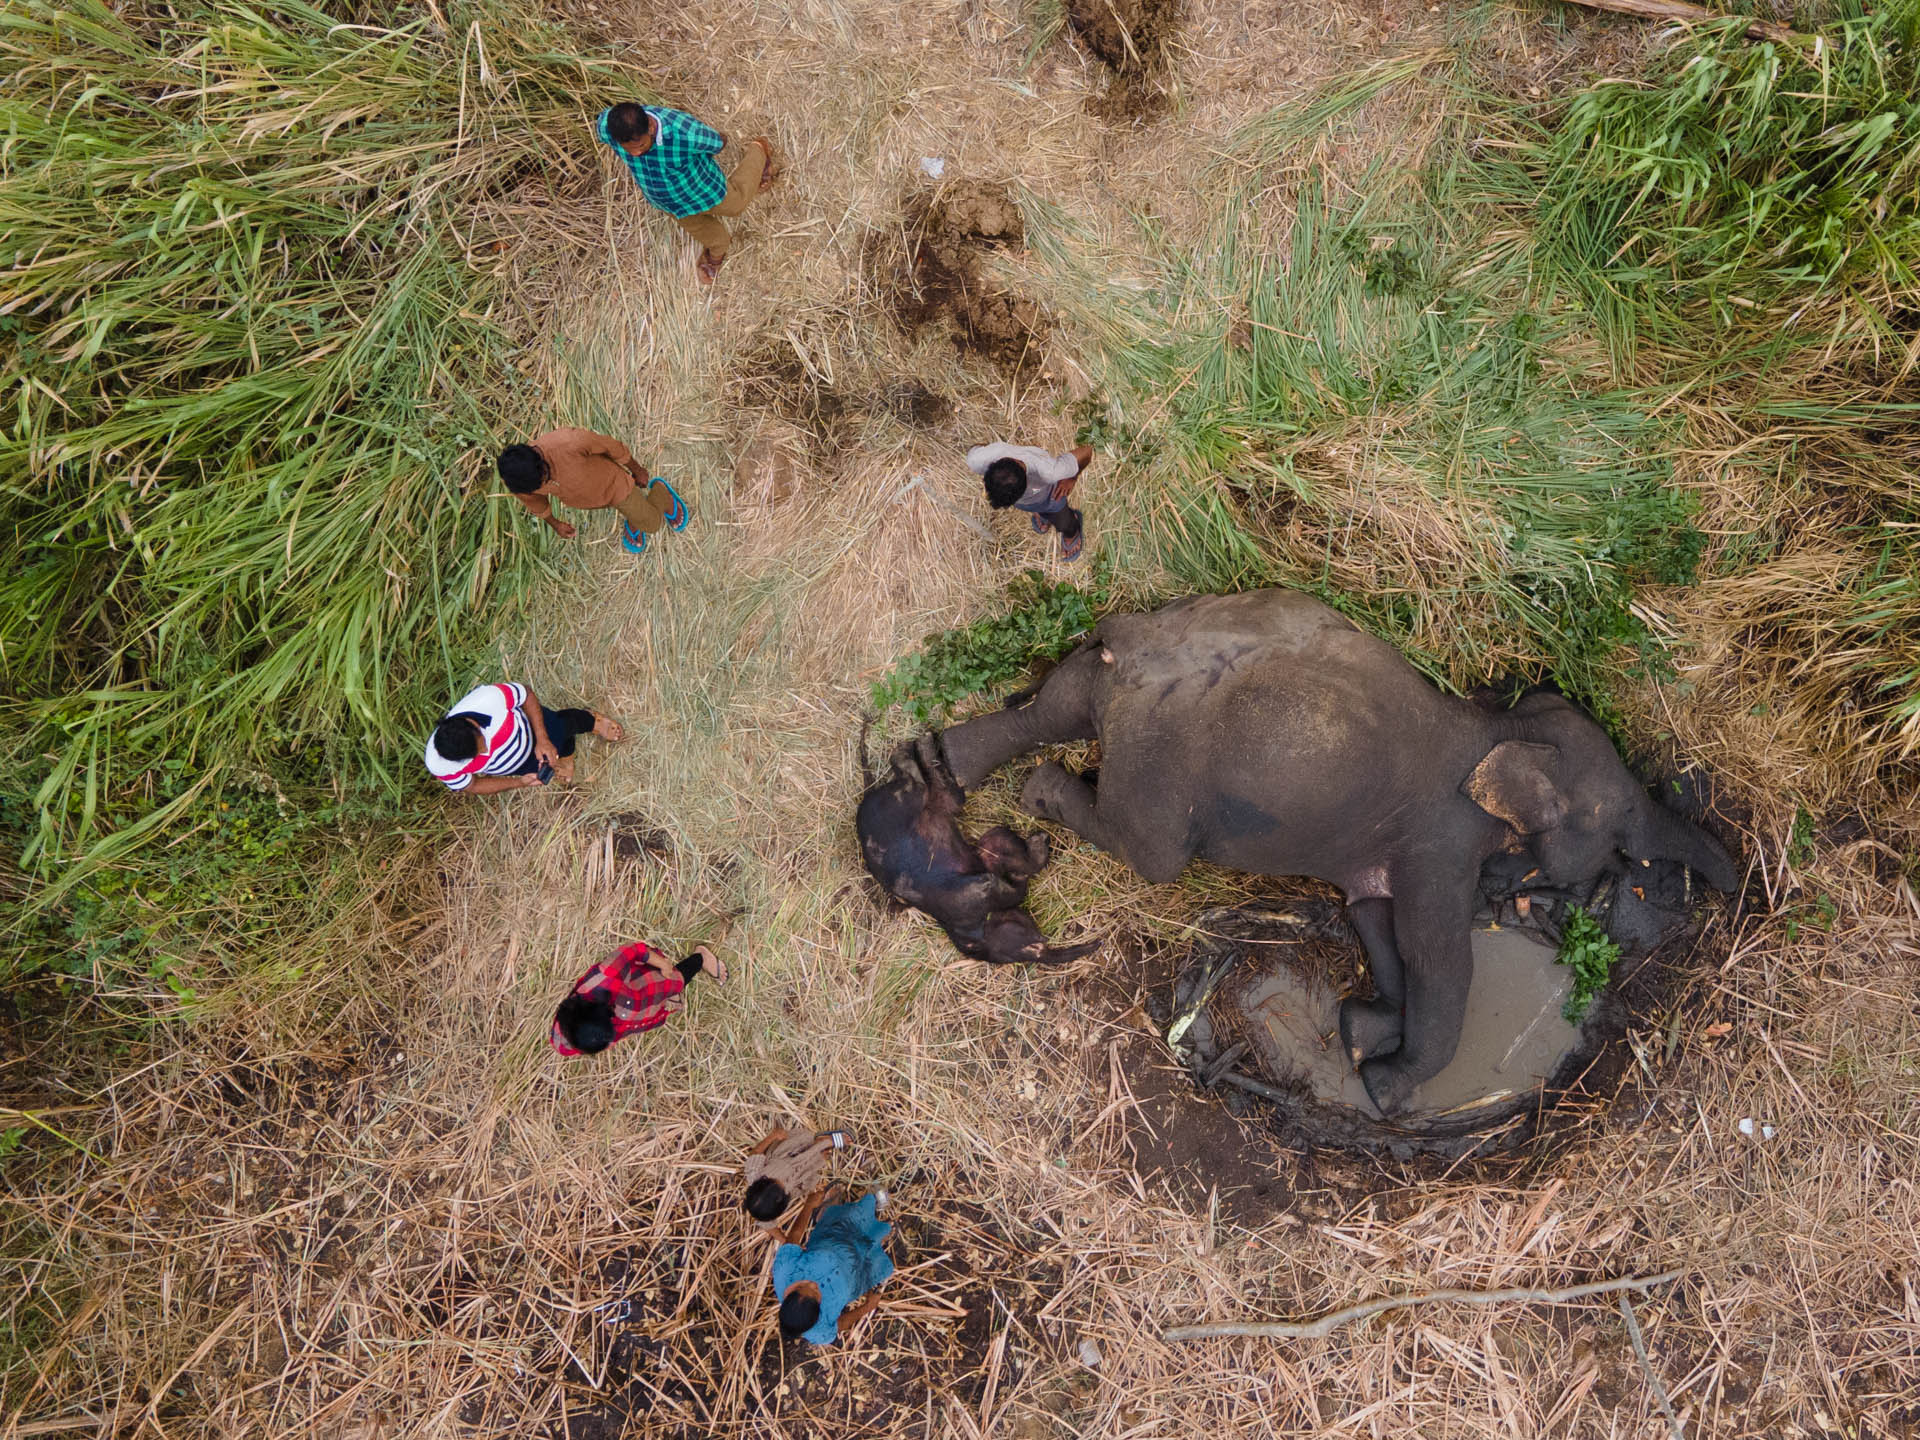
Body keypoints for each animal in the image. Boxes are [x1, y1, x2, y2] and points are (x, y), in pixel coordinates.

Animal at [933, 587, 1743, 1113]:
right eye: (1620, 823)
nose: (1739, 883)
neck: (1499, 729)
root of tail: (1135, 636)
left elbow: (1374, 920)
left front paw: (1360, 1033)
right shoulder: (1441, 839)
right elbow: (1438, 957)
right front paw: (1385, 1087)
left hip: (1105, 678)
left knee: (1049, 707)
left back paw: (946, 763)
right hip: (1159, 759)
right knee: (1150, 848)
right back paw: (1038, 793)